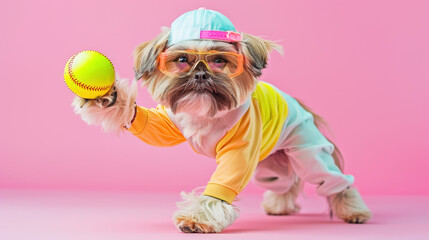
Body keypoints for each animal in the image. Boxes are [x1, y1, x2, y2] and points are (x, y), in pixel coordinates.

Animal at [71, 8, 372, 233]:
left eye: (219, 60)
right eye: (182, 60)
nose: (201, 74)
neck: (204, 114)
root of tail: (301, 104)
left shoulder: (241, 149)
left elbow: (221, 185)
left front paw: (198, 218)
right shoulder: (171, 123)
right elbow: (149, 126)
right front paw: (108, 98)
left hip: (307, 152)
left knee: (334, 180)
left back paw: (354, 210)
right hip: (272, 165)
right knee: (286, 183)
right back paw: (280, 205)